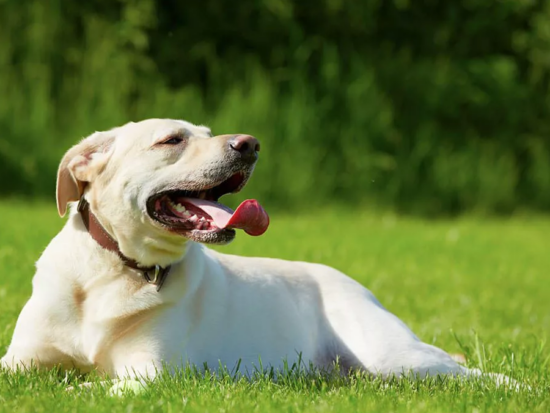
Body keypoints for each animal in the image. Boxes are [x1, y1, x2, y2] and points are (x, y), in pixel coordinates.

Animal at [2, 117, 516, 388]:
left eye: (206, 130)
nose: (249, 144)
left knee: (475, 374)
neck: (116, 269)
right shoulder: (19, 359)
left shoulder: (147, 373)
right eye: (172, 139)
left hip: (395, 357)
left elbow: (94, 387)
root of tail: (356, 285)